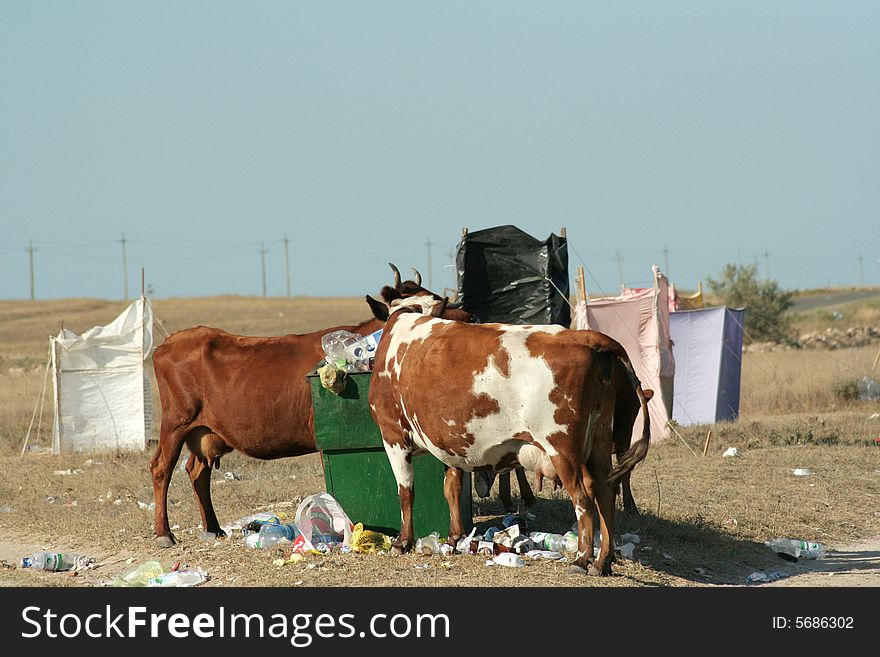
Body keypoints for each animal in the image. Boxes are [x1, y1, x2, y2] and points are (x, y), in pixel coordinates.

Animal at [150, 262, 440, 544]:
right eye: (408, 310)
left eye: (437, 303)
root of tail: (170, 341)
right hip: (176, 422)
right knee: (161, 468)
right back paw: (164, 533)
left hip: (205, 433)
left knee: (197, 472)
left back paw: (213, 527)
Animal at [368, 292, 648, 576]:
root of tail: (584, 336)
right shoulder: (450, 441)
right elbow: (452, 488)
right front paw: (455, 537)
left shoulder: (392, 434)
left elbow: (406, 490)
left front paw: (403, 541)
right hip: (600, 437)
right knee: (605, 490)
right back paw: (603, 561)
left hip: (562, 449)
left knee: (583, 495)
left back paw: (582, 558)